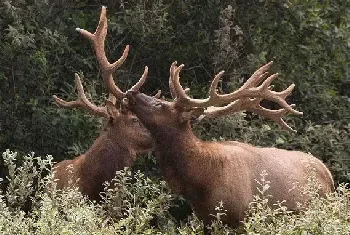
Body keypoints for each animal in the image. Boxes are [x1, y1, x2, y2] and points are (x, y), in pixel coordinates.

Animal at [123, 61, 334, 230]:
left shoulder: (243, 217)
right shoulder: (206, 220)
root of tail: (329, 174)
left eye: (160, 104)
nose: (131, 92)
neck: (200, 181)